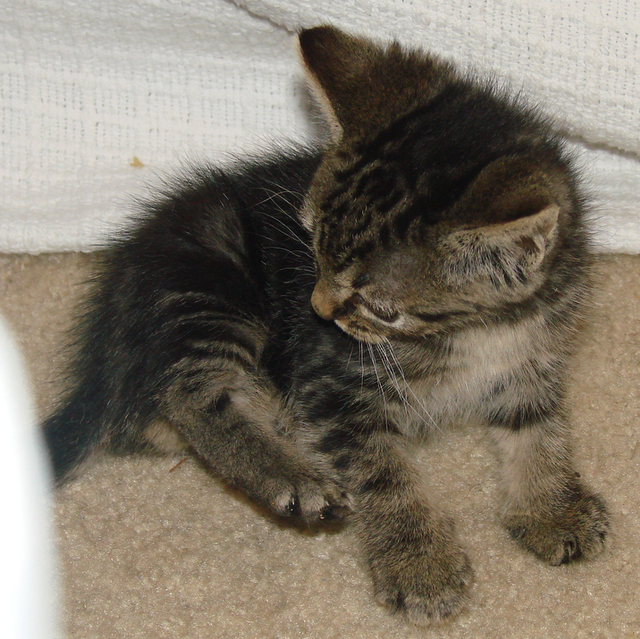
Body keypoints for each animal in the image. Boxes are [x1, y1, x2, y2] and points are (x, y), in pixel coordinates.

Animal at [42, 26, 608, 624]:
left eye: (380, 306)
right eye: (311, 247)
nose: (316, 309)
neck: (480, 331)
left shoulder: (534, 357)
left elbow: (539, 427)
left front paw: (553, 508)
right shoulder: (330, 384)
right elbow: (383, 473)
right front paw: (419, 561)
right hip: (209, 287)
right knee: (187, 395)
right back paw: (291, 478)